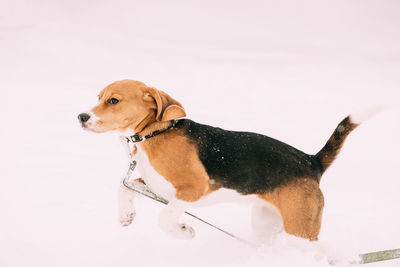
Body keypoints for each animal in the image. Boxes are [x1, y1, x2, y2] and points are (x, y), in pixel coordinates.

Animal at [78, 79, 376, 243]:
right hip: (266, 224)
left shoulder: (192, 189)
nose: (81, 116)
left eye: (113, 100)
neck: (155, 133)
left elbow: (165, 219)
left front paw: (184, 231)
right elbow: (122, 190)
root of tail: (311, 161)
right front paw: (125, 215)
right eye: (99, 97)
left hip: (301, 230)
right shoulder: (153, 185)